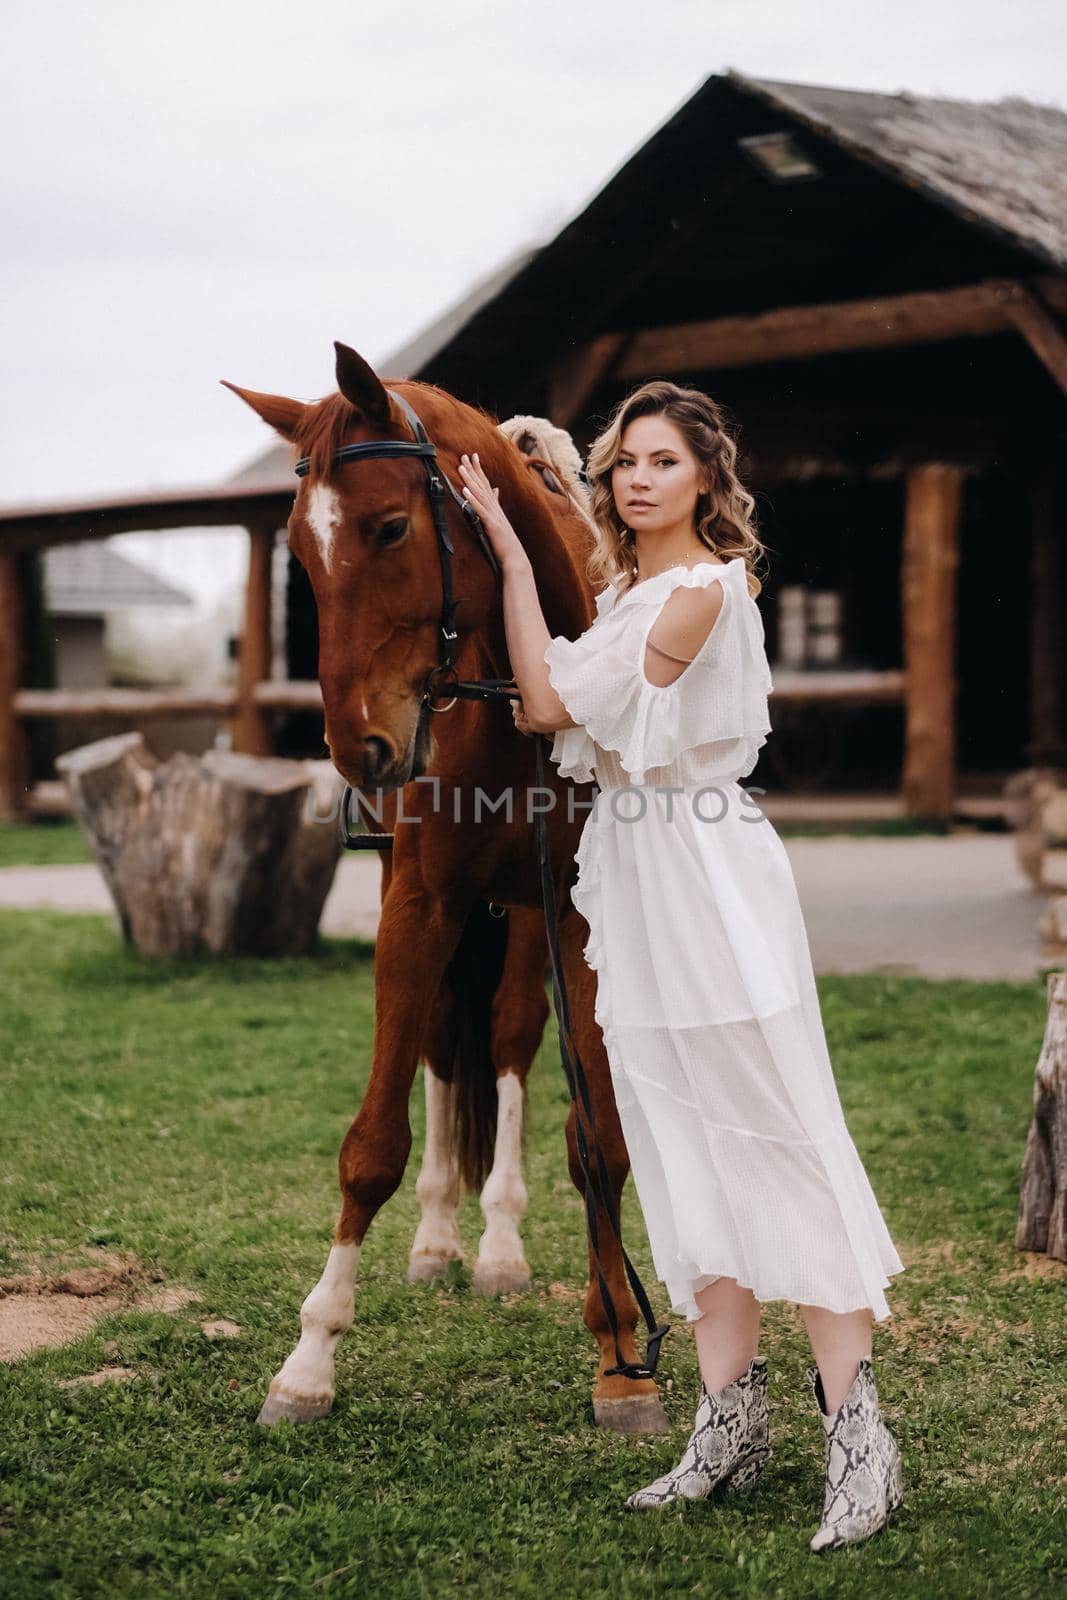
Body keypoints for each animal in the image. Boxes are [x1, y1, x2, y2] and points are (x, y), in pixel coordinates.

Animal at [225, 347, 668, 1440]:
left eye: (388, 528)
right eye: (299, 549)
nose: (359, 747)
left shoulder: (576, 915)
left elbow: (594, 1136)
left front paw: (619, 1353)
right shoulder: (417, 903)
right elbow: (371, 1144)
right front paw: (308, 1361)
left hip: (525, 918)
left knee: (506, 1039)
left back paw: (500, 1245)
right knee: (439, 1044)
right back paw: (436, 1240)